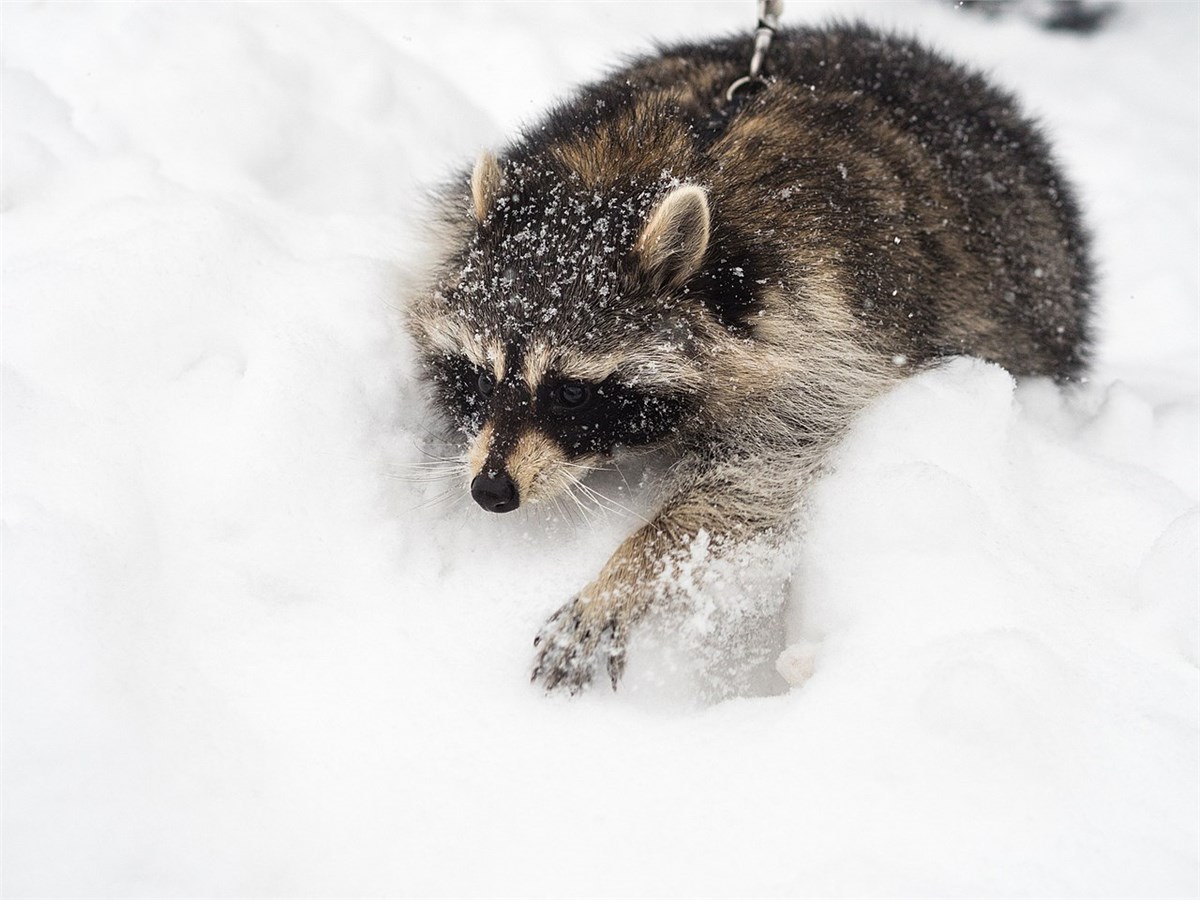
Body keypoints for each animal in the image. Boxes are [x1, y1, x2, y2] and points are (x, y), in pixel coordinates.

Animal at [403, 22, 1089, 696]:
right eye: (481, 378)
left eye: (570, 390)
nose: (491, 491)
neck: (628, 180)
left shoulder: (824, 332)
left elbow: (750, 480)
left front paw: (630, 569)